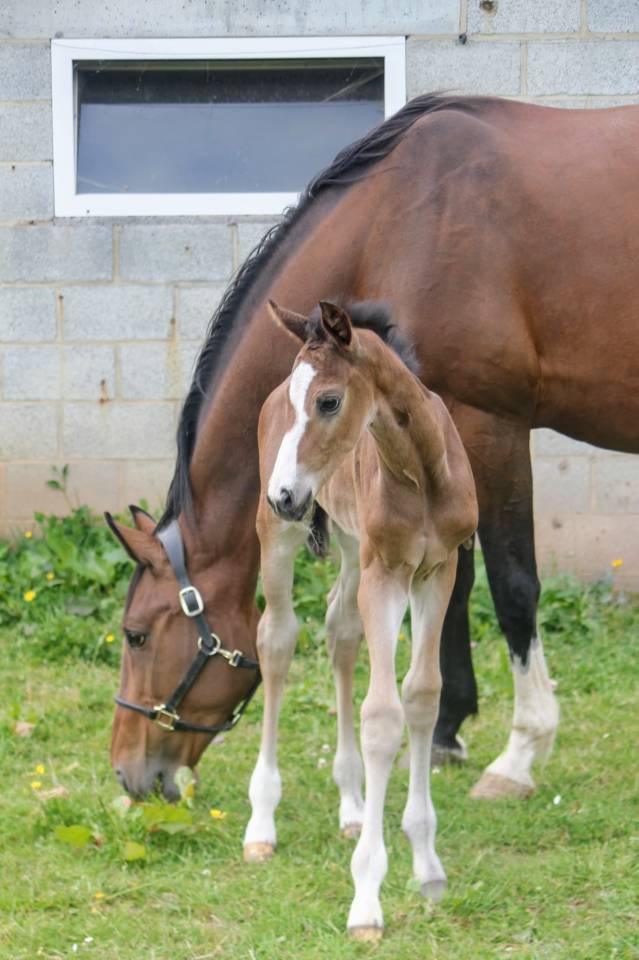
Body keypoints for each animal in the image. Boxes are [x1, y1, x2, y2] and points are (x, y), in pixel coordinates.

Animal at [108, 93, 639, 802]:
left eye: (137, 635)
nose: (131, 774)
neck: (406, 214)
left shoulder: (490, 425)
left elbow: (512, 582)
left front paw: (520, 751)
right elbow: (455, 584)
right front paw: (446, 729)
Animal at [244, 298, 477, 939]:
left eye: (328, 401)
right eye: (300, 399)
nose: (285, 493)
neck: (422, 470)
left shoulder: (437, 571)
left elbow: (422, 696)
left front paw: (427, 866)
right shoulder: (386, 575)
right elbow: (382, 716)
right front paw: (367, 897)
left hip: (349, 543)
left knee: (340, 632)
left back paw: (350, 804)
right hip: (281, 538)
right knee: (276, 640)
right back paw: (261, 823)